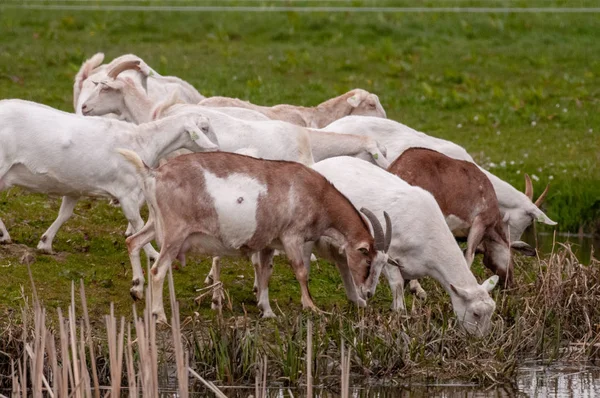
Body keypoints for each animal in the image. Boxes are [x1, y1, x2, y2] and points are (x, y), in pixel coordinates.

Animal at [119, 151, 396, 322]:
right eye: (367, 259)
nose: (367, 293)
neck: (316, 194)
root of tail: (154, 174)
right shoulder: (292, 236)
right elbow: (301, 271)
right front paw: (312, 307)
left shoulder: (269, 243)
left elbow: (265, 273)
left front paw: (267, 310)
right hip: (174, 234)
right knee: (158, 270)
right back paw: (160, 316)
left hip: (155, 224)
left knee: (133, 242)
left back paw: (136, 290)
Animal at [312, 157, 500, 338]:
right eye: (476, 313)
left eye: (491, 311)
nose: (481, 339)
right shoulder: (390, 255)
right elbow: (397, 285)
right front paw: (399, 314)